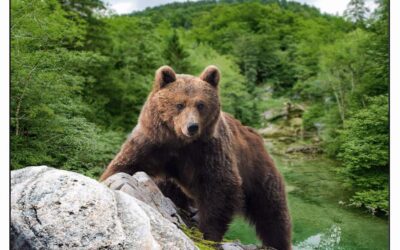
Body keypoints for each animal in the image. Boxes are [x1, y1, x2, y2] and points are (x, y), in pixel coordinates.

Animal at [99, 65, 290, 249]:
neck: (179, 142)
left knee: (271, 211)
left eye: (200, 104)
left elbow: (220, 187)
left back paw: (276, 242)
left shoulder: (208, 151)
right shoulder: (152, 143)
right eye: (180, 104)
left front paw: (208, 234)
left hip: (256, 168)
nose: (192, 126)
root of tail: (254, 135)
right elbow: (126, 165)